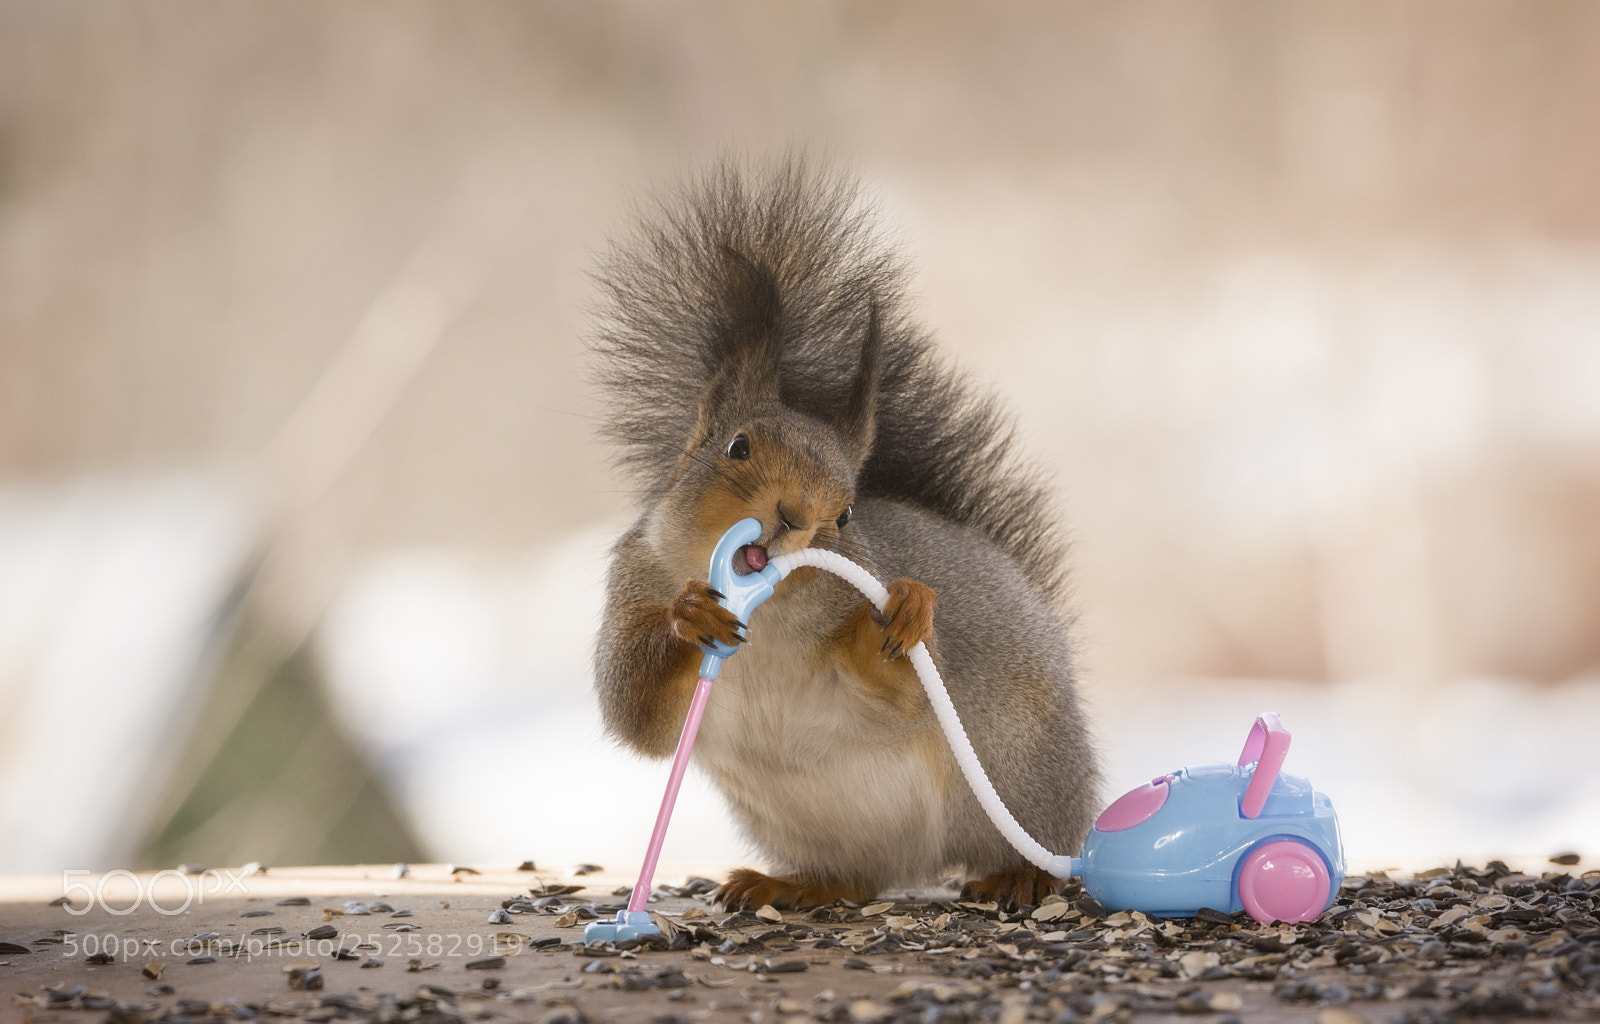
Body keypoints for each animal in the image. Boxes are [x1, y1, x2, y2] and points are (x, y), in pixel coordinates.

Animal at [589, 158, 1100, 910]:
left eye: (848, 514)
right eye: (737, 447)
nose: (795, 516)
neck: (770, 619)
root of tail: (926, 860)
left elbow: (905, 693)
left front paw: (906, 610)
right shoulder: (632, 585)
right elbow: (634, 707)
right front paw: (693, 616)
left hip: (1020, 769)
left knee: (1028, 845)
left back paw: (1021, 872)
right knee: (860, 879)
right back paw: (790, 884)